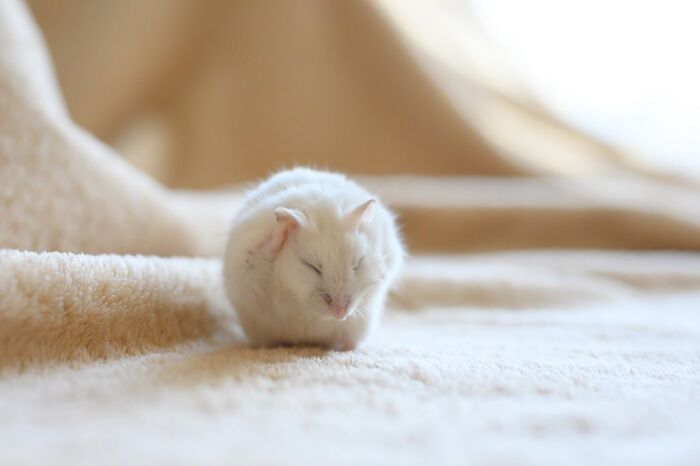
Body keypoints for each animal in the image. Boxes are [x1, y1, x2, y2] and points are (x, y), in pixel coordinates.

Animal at [223, 167, 405, 351]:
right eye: (311, 266)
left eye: (358, 263)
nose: (340, 314)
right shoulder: (248, 266)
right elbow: (264, 253)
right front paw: (282, 225)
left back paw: (349, 348)